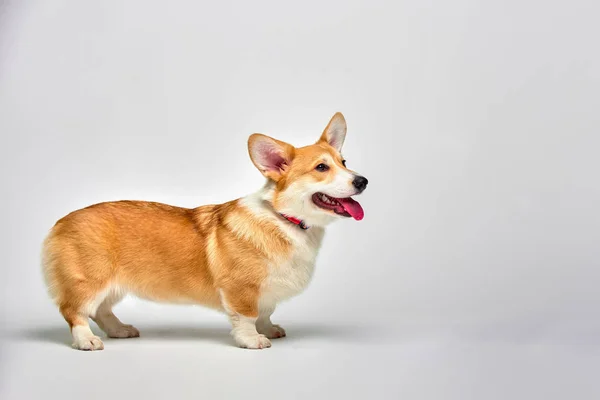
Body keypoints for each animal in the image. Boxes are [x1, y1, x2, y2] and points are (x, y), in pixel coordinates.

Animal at [41, 111, 366, 350]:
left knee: (101, 310)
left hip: (112, 285)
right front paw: (253, 340)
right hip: (90, 281)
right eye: (321, 168)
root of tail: (60, 222)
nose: (362, 181)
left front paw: (270, 329)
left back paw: (119, 330)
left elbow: (265, 311)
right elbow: (247, 317)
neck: (284, 219)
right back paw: (87, 340)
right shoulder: (241, 290)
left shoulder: (266, 293)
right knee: (75, 311)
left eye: (344, 162)